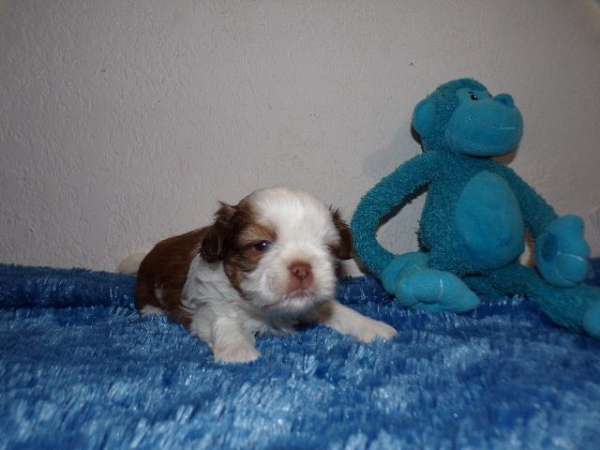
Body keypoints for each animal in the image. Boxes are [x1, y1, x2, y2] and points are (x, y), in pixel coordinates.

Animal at [127, 187, 398, 366]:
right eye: (261, 245)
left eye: (328, 248)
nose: (302, 268)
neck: (266, 310)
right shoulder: (206, 305)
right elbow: (223, 319)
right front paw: (238, 351)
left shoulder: (312, 304)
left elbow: (339, 311)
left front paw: (373, 327)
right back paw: (153, 312)